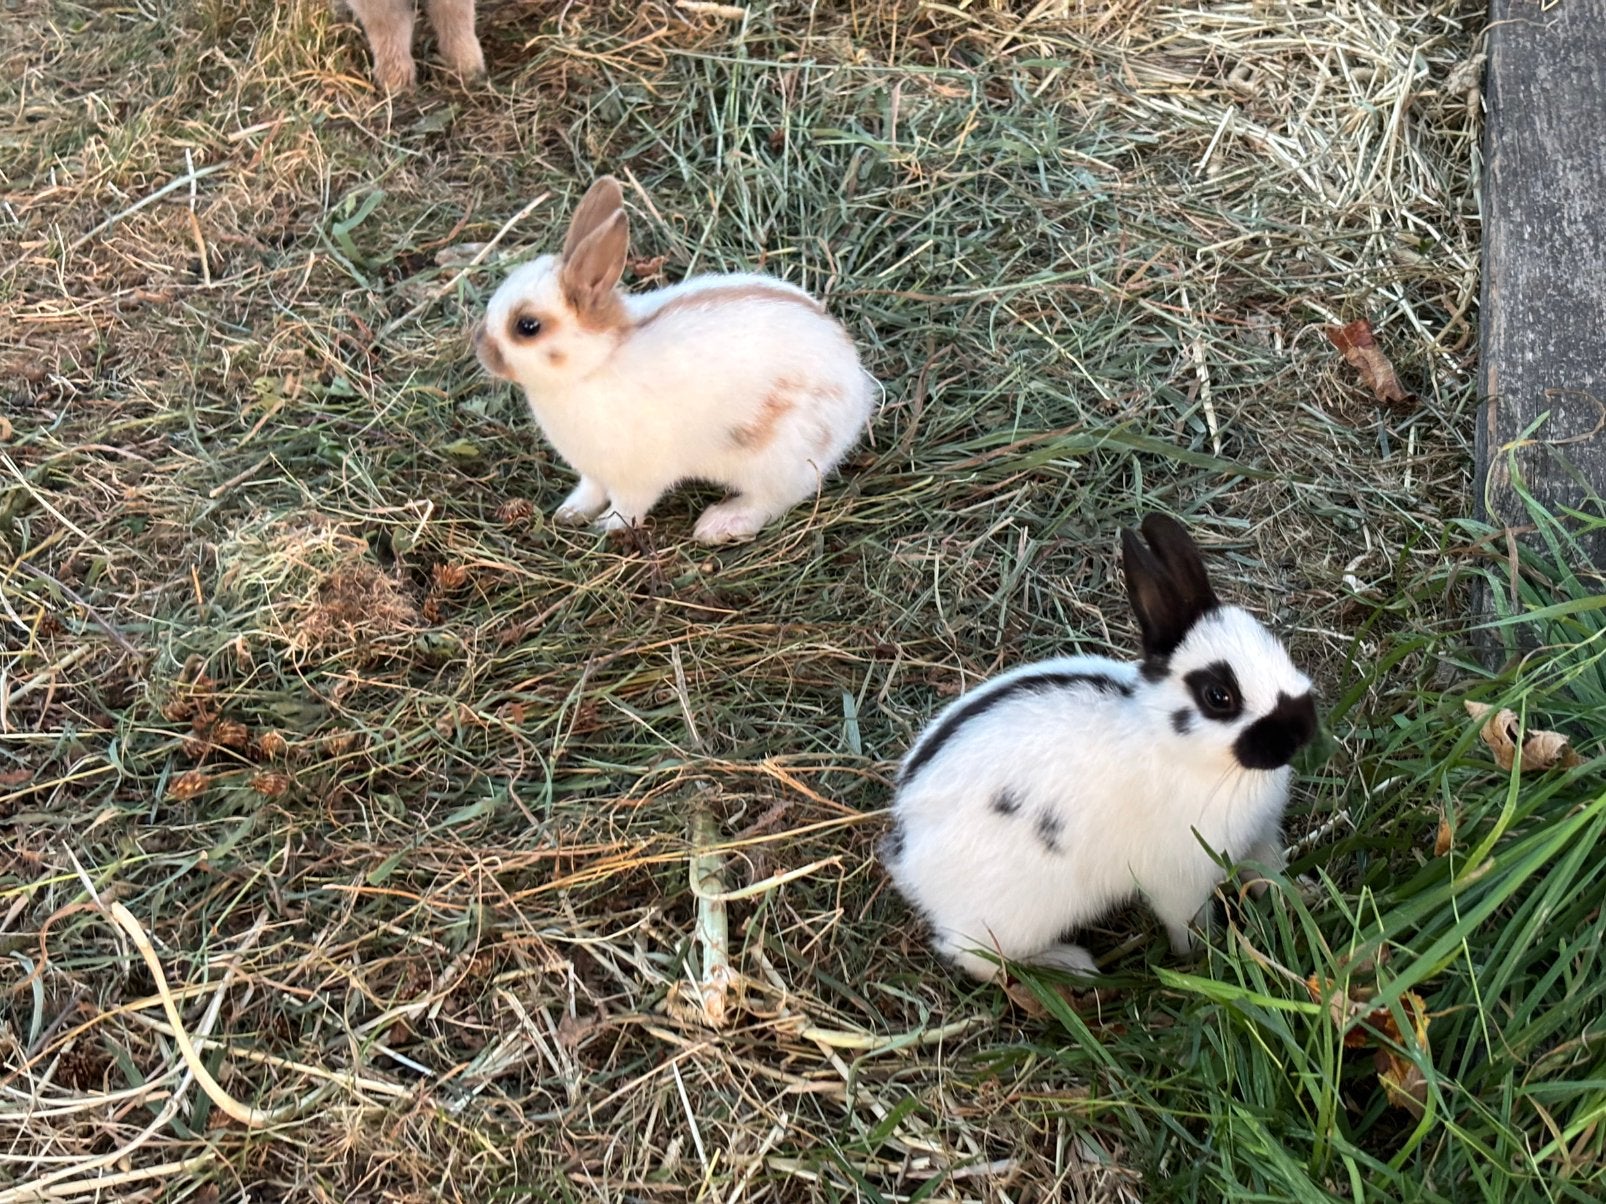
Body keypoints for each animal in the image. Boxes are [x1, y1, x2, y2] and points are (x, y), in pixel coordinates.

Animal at [473, 176, 878, 544]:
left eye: (527, 326)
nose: (481, 347)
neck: (596, 364)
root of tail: (858, 393)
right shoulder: (593, 472)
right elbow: (589, 491)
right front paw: (569, 513)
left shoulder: (636, 478)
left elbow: (628, 507)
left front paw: (606, 527)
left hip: (776, 460)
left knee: (777, 498)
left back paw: (719, 524)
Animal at [882, 513, 1318, 982]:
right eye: (1219, 696)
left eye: (1274, 645)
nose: (1302, 729)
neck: (1178, 749)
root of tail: (907, 850)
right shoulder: (1179, 880)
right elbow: (1185, 922)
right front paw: (1201, 957)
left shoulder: (1260, 837)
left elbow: (1271, 874)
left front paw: (1302, 896)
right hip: (1014, 917)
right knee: (975, 956)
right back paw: (1070, 965)